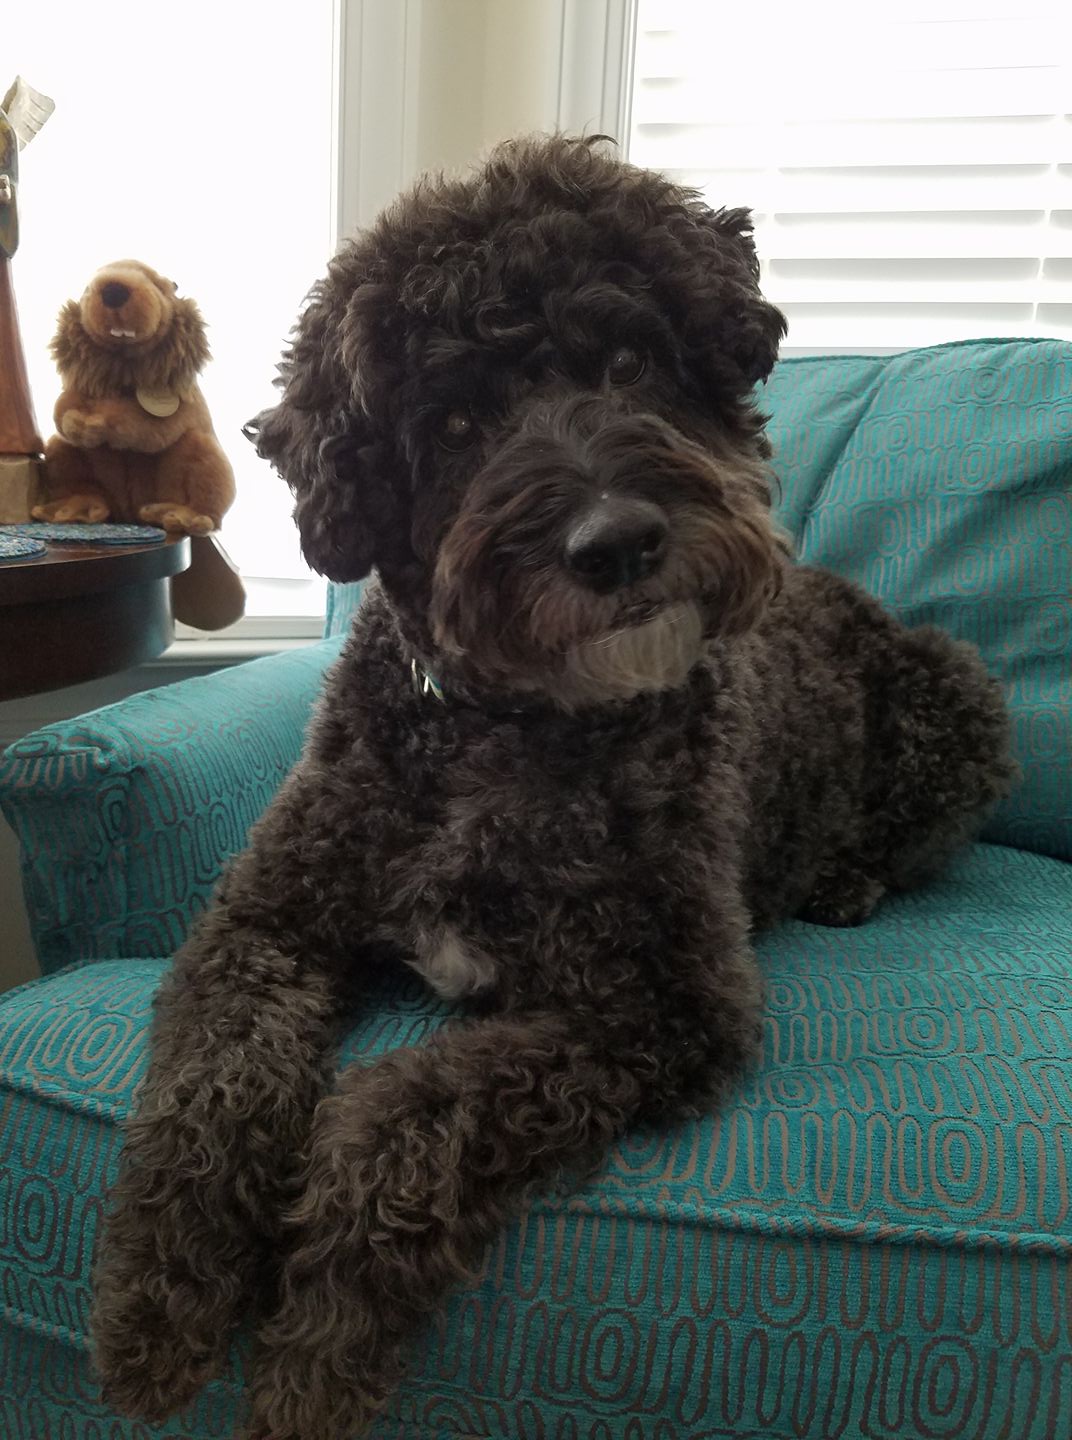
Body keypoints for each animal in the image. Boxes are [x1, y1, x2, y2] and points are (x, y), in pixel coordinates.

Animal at [92, 137, 1014, 1440]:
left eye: (629, 360)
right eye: (455, 420)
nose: (615, 541)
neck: (506, 728)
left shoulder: (660, 1009)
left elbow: (401, 1110)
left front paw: (316, 1345)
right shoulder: (262, 924)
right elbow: (208, 1087)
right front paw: (161, 1304)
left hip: (957, 690)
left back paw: (845, 879)